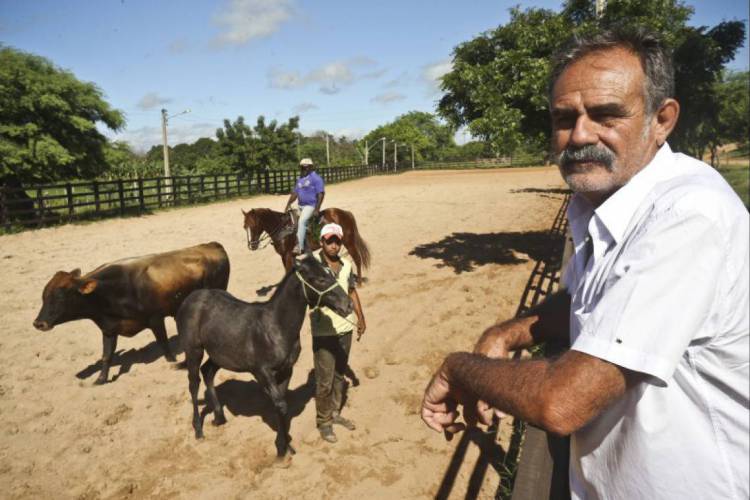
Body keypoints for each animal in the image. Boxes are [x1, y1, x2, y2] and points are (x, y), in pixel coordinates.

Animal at [32, 241, 231, 382]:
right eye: (43, 297)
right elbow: (106, 355)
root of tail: (212, 245)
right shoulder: (109, 327)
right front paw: (100, 379)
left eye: (60, 297)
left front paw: (172, 361)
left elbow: (164, 344)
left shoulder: (155, 318)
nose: (38, 323)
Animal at [244, 208, 374, 286]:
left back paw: (359, 283)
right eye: (245, 226)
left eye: (254, 225)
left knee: (357, 259)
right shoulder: (285, 256)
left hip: (349, 242)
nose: (252, 245)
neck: (282, 227)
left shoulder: (288, 255)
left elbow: (287, 272)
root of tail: (346, 213)